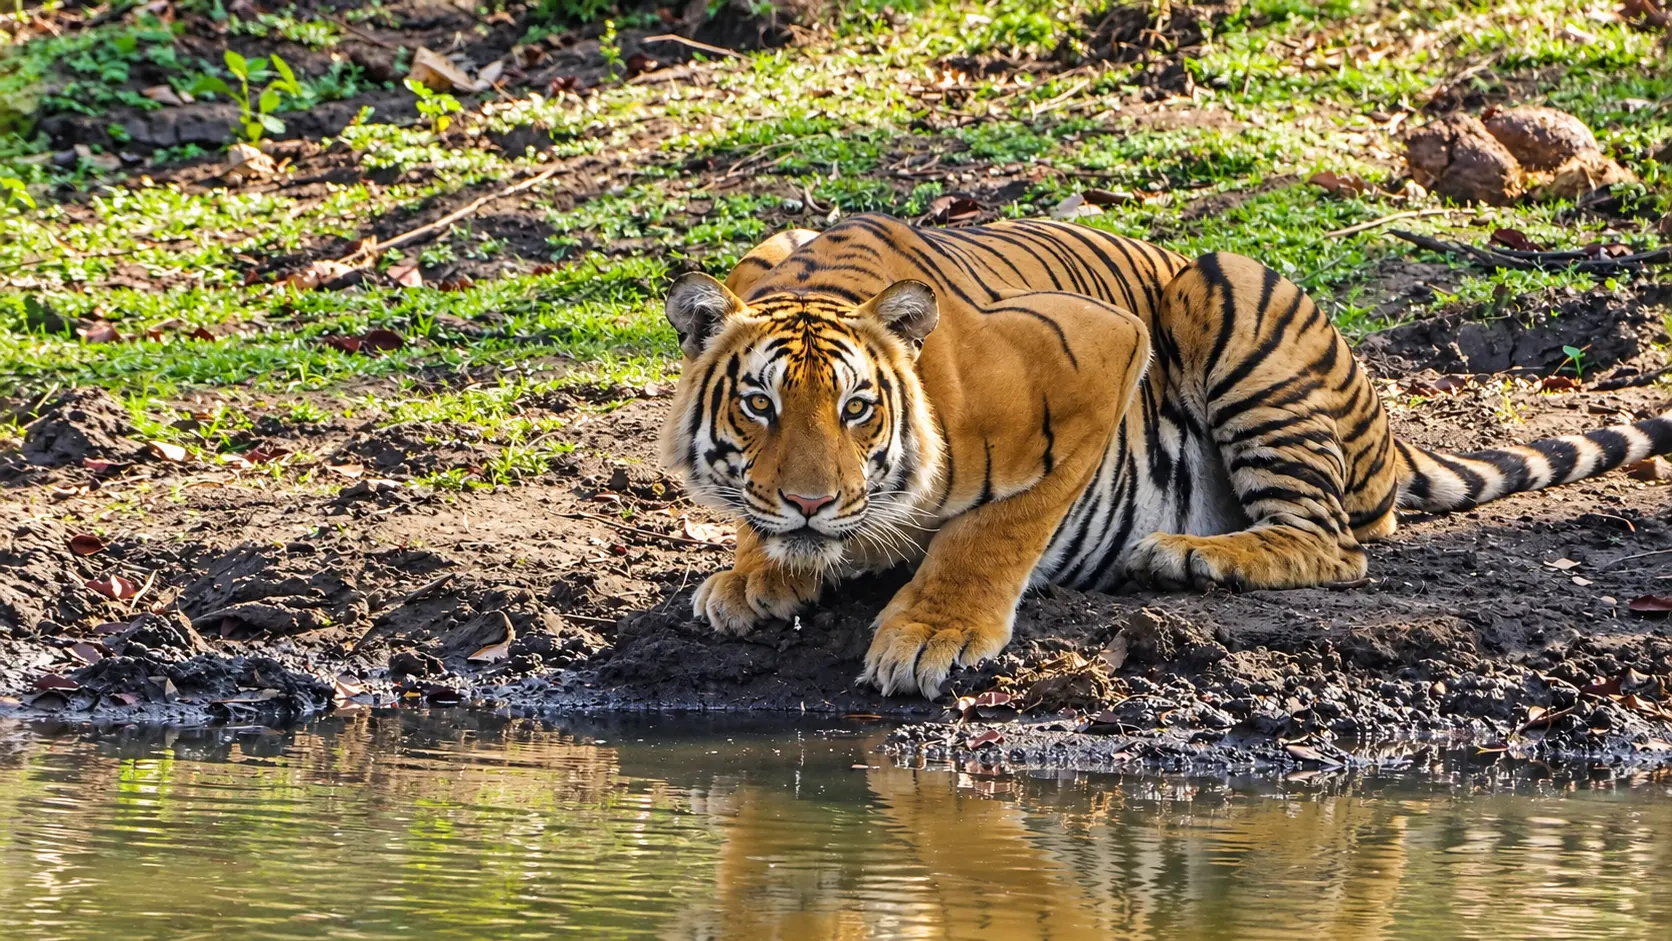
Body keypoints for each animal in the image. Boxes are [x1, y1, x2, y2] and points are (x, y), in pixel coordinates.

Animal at [658, 213, 1672, 699]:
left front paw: (931, 632)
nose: (809, 505)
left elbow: (998, 525)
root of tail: (1386, 427)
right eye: (758, 406)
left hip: (1229, 291)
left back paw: (1189, 555)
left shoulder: (1100, 352)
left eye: (859, 410)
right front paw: (753, 572)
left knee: (1336, 539)